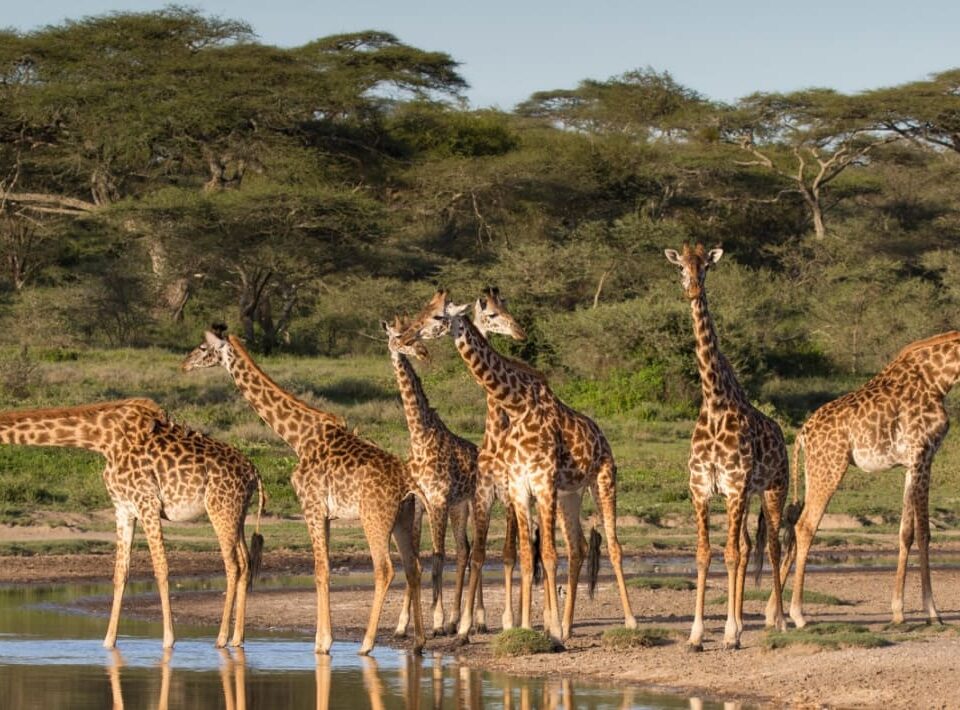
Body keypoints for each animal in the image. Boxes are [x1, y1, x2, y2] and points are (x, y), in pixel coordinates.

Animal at [0, 400, 264, 652]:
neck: (101, 438)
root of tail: (255, 473)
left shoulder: (147, 502)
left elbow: (161, 568)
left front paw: (168, 640)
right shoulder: (124, 509)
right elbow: (121, 572)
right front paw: (108, 642)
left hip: (220, 508)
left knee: (232, 564)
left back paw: (221, 638)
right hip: (237, 513)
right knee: (245, 562)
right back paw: (237, 639)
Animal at [178, 332, 422, 656]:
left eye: (203, 347)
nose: (184, 364)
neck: (299, 437)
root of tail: (408, 486)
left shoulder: (311, 507)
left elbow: (320, 569)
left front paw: (323, 643)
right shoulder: (326, 514)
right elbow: (324, 568)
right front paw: (322, 640)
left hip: (375, 519)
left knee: (385, 569)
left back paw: (366, 644)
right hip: (402, 520)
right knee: (413, 567)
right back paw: (419, 642)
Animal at [402, 290, 640, 644]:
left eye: (437, 317)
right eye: (422, 310)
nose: (407, 337)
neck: (516, 405)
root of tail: (603, 438)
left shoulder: (540, 482)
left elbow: (543, 555)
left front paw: (544, 628)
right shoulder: (517, 486)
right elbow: (525, 555)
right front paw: (525, 627)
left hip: (603, 481)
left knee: (613, 546)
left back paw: (629, 621)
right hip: (570, 495)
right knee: (578, 548)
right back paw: (568, 625)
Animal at [664, 245, 792, 652]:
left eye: (706, 266)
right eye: (680, 268)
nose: (692, 290)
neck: (716, 403)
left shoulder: (734, 487)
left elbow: (731, 554)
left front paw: (731, 633)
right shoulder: (703, 489)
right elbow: (705, 554)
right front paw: (697, 635)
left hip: (773, 489)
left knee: (772, 546)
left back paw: (779, 621)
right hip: (749, 495)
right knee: (750, 546)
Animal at [780, 330, 960, 628]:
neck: (940, 379)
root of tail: (803, 435)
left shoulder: (910, 464)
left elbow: (906, 532)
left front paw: (898, 612)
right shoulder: (923, 454)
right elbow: (924, 532)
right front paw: (933, 612)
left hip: (813, 471)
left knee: (792, 525)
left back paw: (774, 614)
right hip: (830, 468)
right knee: (805, 526)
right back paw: (798, 614)